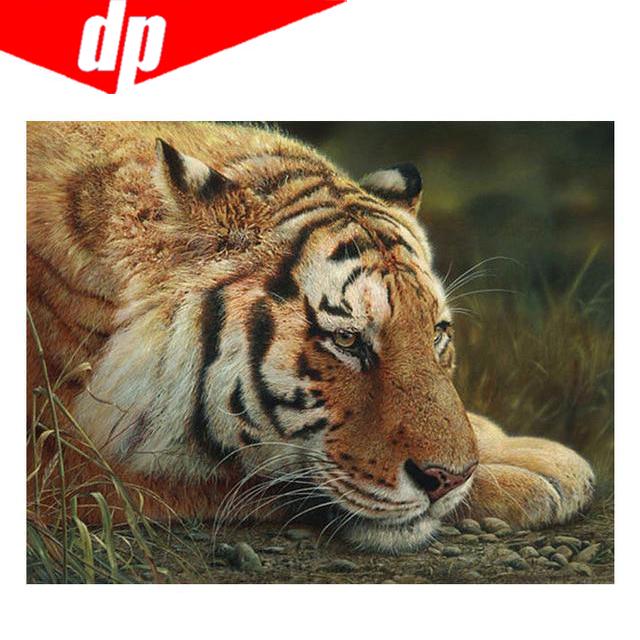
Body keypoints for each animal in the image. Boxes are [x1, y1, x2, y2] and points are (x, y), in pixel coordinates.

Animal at [27, 122, 595, 553]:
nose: (449, 479)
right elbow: (240, 474)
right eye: (346, 341)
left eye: (437, 334)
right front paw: (535, 474)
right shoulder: (63, 462)